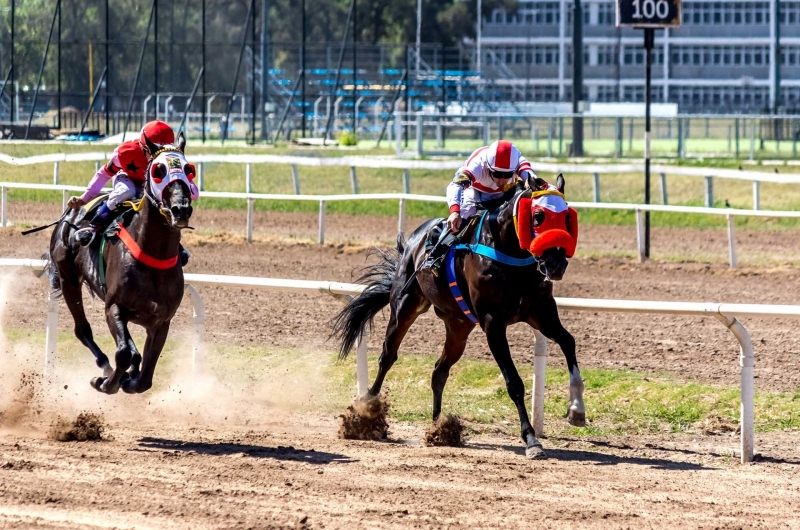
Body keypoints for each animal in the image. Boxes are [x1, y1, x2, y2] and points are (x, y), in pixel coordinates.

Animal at [46, 134, 198, 394]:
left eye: (189, 170)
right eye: (158, 171)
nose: (181, 209)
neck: (153, 256)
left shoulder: (162, 320)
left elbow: (145, 377)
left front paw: (130, 379)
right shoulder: (114, 307)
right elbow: (123, 353)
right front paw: (105, 382)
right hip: (68, 278)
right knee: (83, 330)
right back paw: (105, 366)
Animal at [332, 174, 588, 458]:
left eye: (567, 218)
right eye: (538, 216)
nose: (556, 264)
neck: (510, 252)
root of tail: (413, 240)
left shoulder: (541, 312)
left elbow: (568, 342)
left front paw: (577, 411)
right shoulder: (492, 322)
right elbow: (514, 382)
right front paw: (531, 439)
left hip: (458, 326)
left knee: (439, 371)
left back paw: (438, 428)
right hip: (405, 306)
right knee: (387, 356)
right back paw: (366, 413)